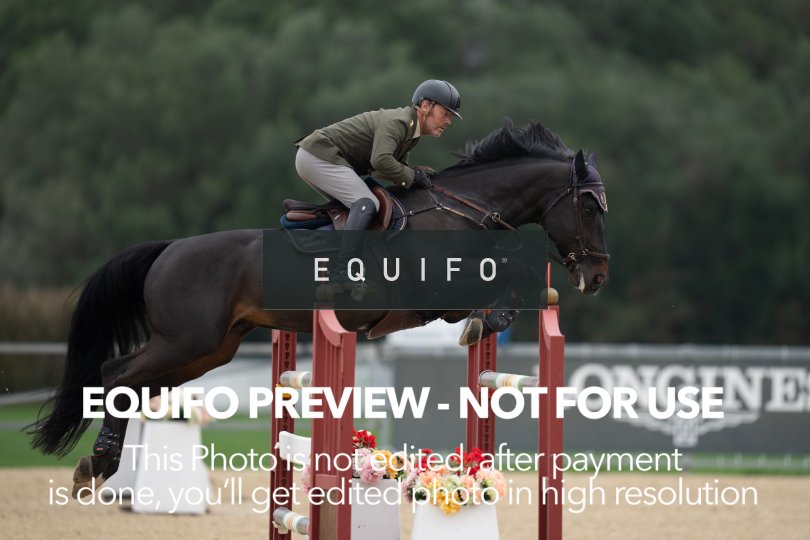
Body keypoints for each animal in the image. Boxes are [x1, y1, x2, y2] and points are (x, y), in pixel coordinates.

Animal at [28, 118, 610, 496]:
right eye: (588, 205)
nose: (598, 277)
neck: (462, 211)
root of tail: (167, 250)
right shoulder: (435, 293)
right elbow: (512, 277)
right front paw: (487, 321)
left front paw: (487, 322)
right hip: (185, 341)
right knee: (115, 373)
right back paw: (97, 465)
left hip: (207, 351)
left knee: (135, 387)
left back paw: (98, 465)